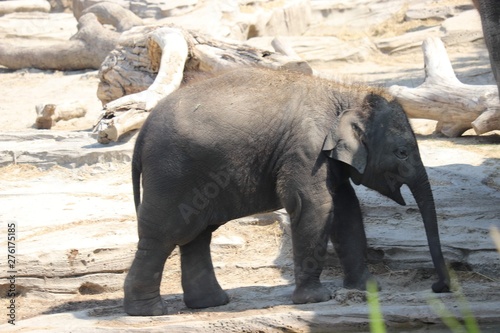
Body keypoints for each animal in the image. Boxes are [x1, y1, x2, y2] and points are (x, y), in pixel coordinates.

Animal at [124, 67, 450, 314]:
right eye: (402, 153)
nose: (438, 287)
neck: (345, 94)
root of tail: (142, 133)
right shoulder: (307, 150)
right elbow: (316, 206)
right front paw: (316, 300)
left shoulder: (326, 158)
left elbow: (346, 210)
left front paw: (368, 288)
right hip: (171, 174)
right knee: (164, 235)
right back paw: (148, 312)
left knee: (197, 235)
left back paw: (210, 304)